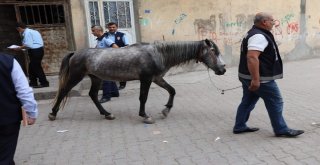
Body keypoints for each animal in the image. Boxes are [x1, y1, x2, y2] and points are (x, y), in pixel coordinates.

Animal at [48, 39, 226, 124]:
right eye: (213, 51)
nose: (222, 69)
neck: (157, 54)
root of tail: (75, 53)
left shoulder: (156, 78)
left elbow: (172, 90)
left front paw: (166, 110)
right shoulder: (146, 79)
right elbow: (143, 97)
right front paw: (145, 116)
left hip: (96, 78)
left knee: (93, 95)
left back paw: (107, 114)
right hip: (76, 76)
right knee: (63, 91)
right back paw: (53, 113)